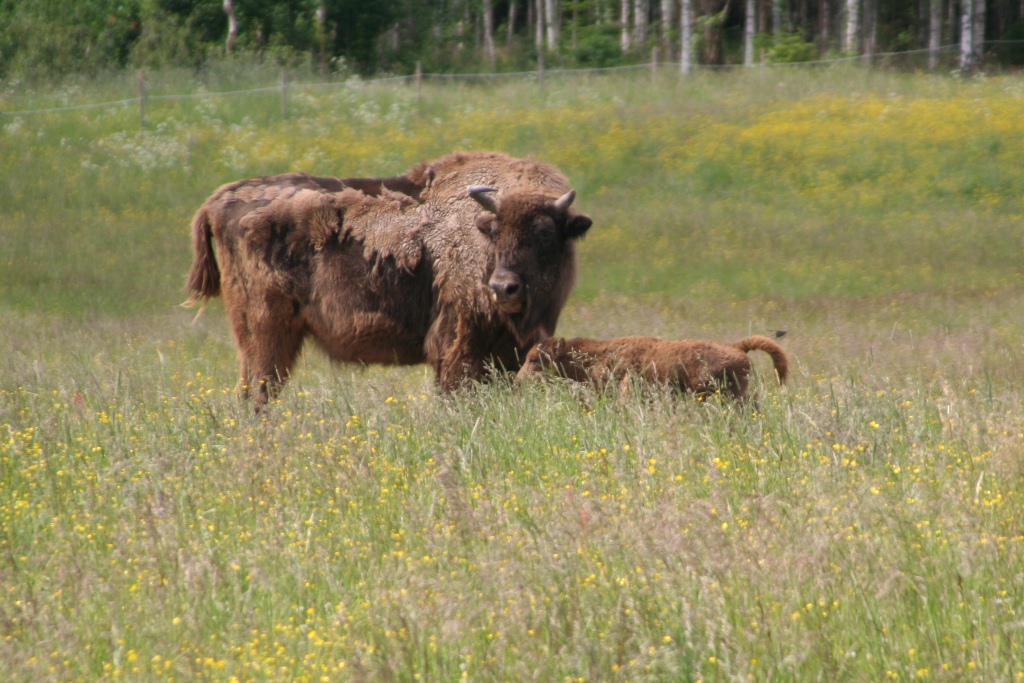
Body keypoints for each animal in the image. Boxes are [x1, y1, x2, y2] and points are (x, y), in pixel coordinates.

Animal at [184, 151, 592, 404]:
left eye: (545, 233)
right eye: (493, 231)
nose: (503, 287)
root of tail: (217, 200)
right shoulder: (458, 350)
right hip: (265, 329)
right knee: (259, 391)